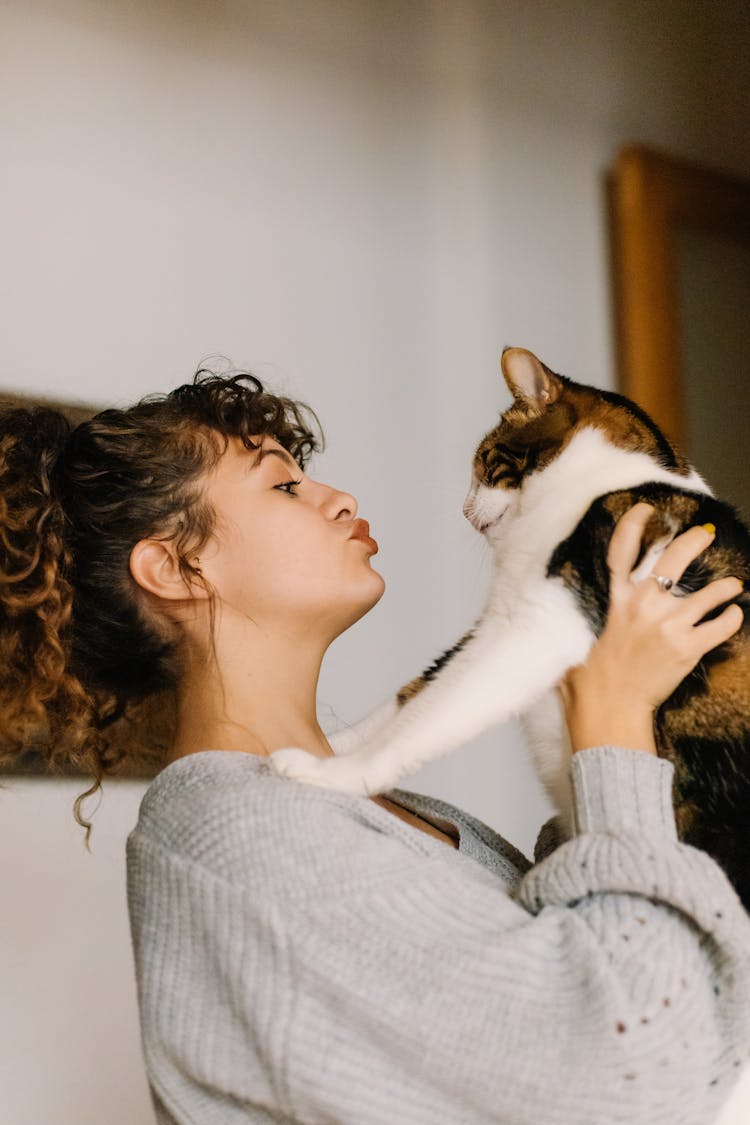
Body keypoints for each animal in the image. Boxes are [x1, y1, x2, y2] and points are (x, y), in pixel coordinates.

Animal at [269, 346, 750, 909]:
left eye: (484, 461)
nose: (462, 510)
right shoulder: (489, 626)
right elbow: (411, 697)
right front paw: (326, 747)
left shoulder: (537, 627)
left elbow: (426, 719)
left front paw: (328, 774)